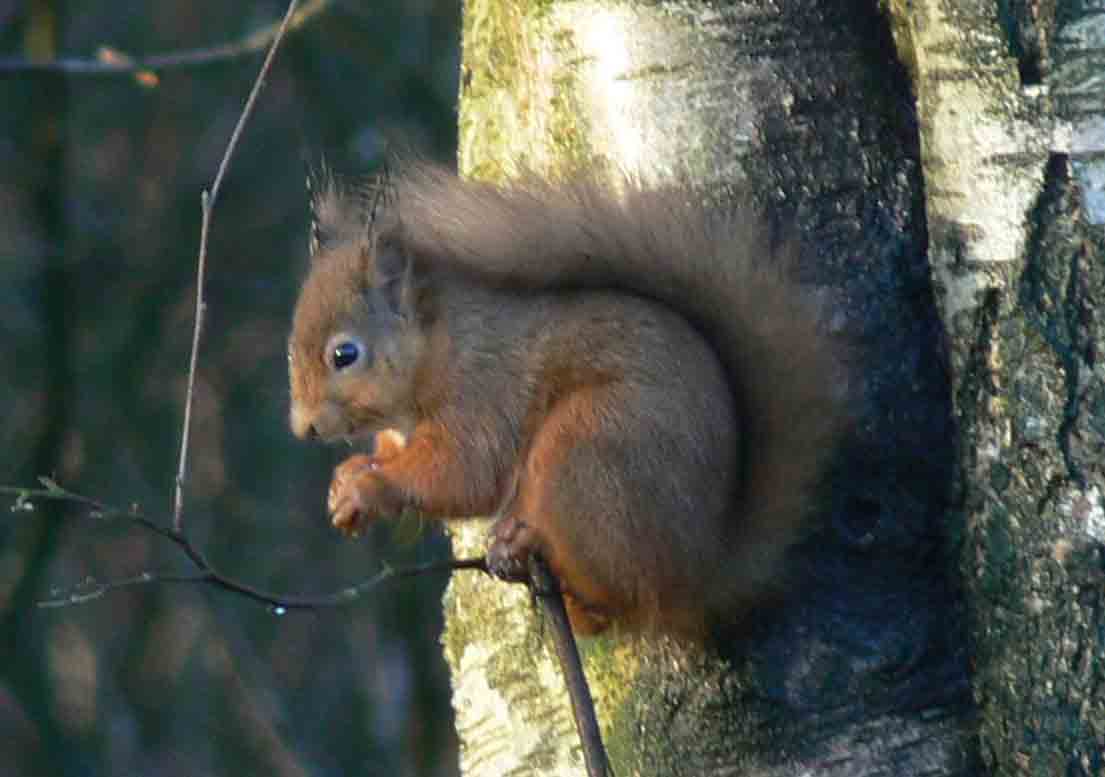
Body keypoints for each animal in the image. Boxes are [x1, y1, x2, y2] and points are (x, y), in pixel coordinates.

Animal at [287, 165, 844, 636]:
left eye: (344, 354)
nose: (303, 429)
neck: (438, 344)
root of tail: (703, 568)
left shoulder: (482, 394)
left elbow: (462, 474)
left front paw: (370, 488)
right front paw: (348, 479)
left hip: (586, 453)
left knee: (620, 599)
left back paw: (533, 549)